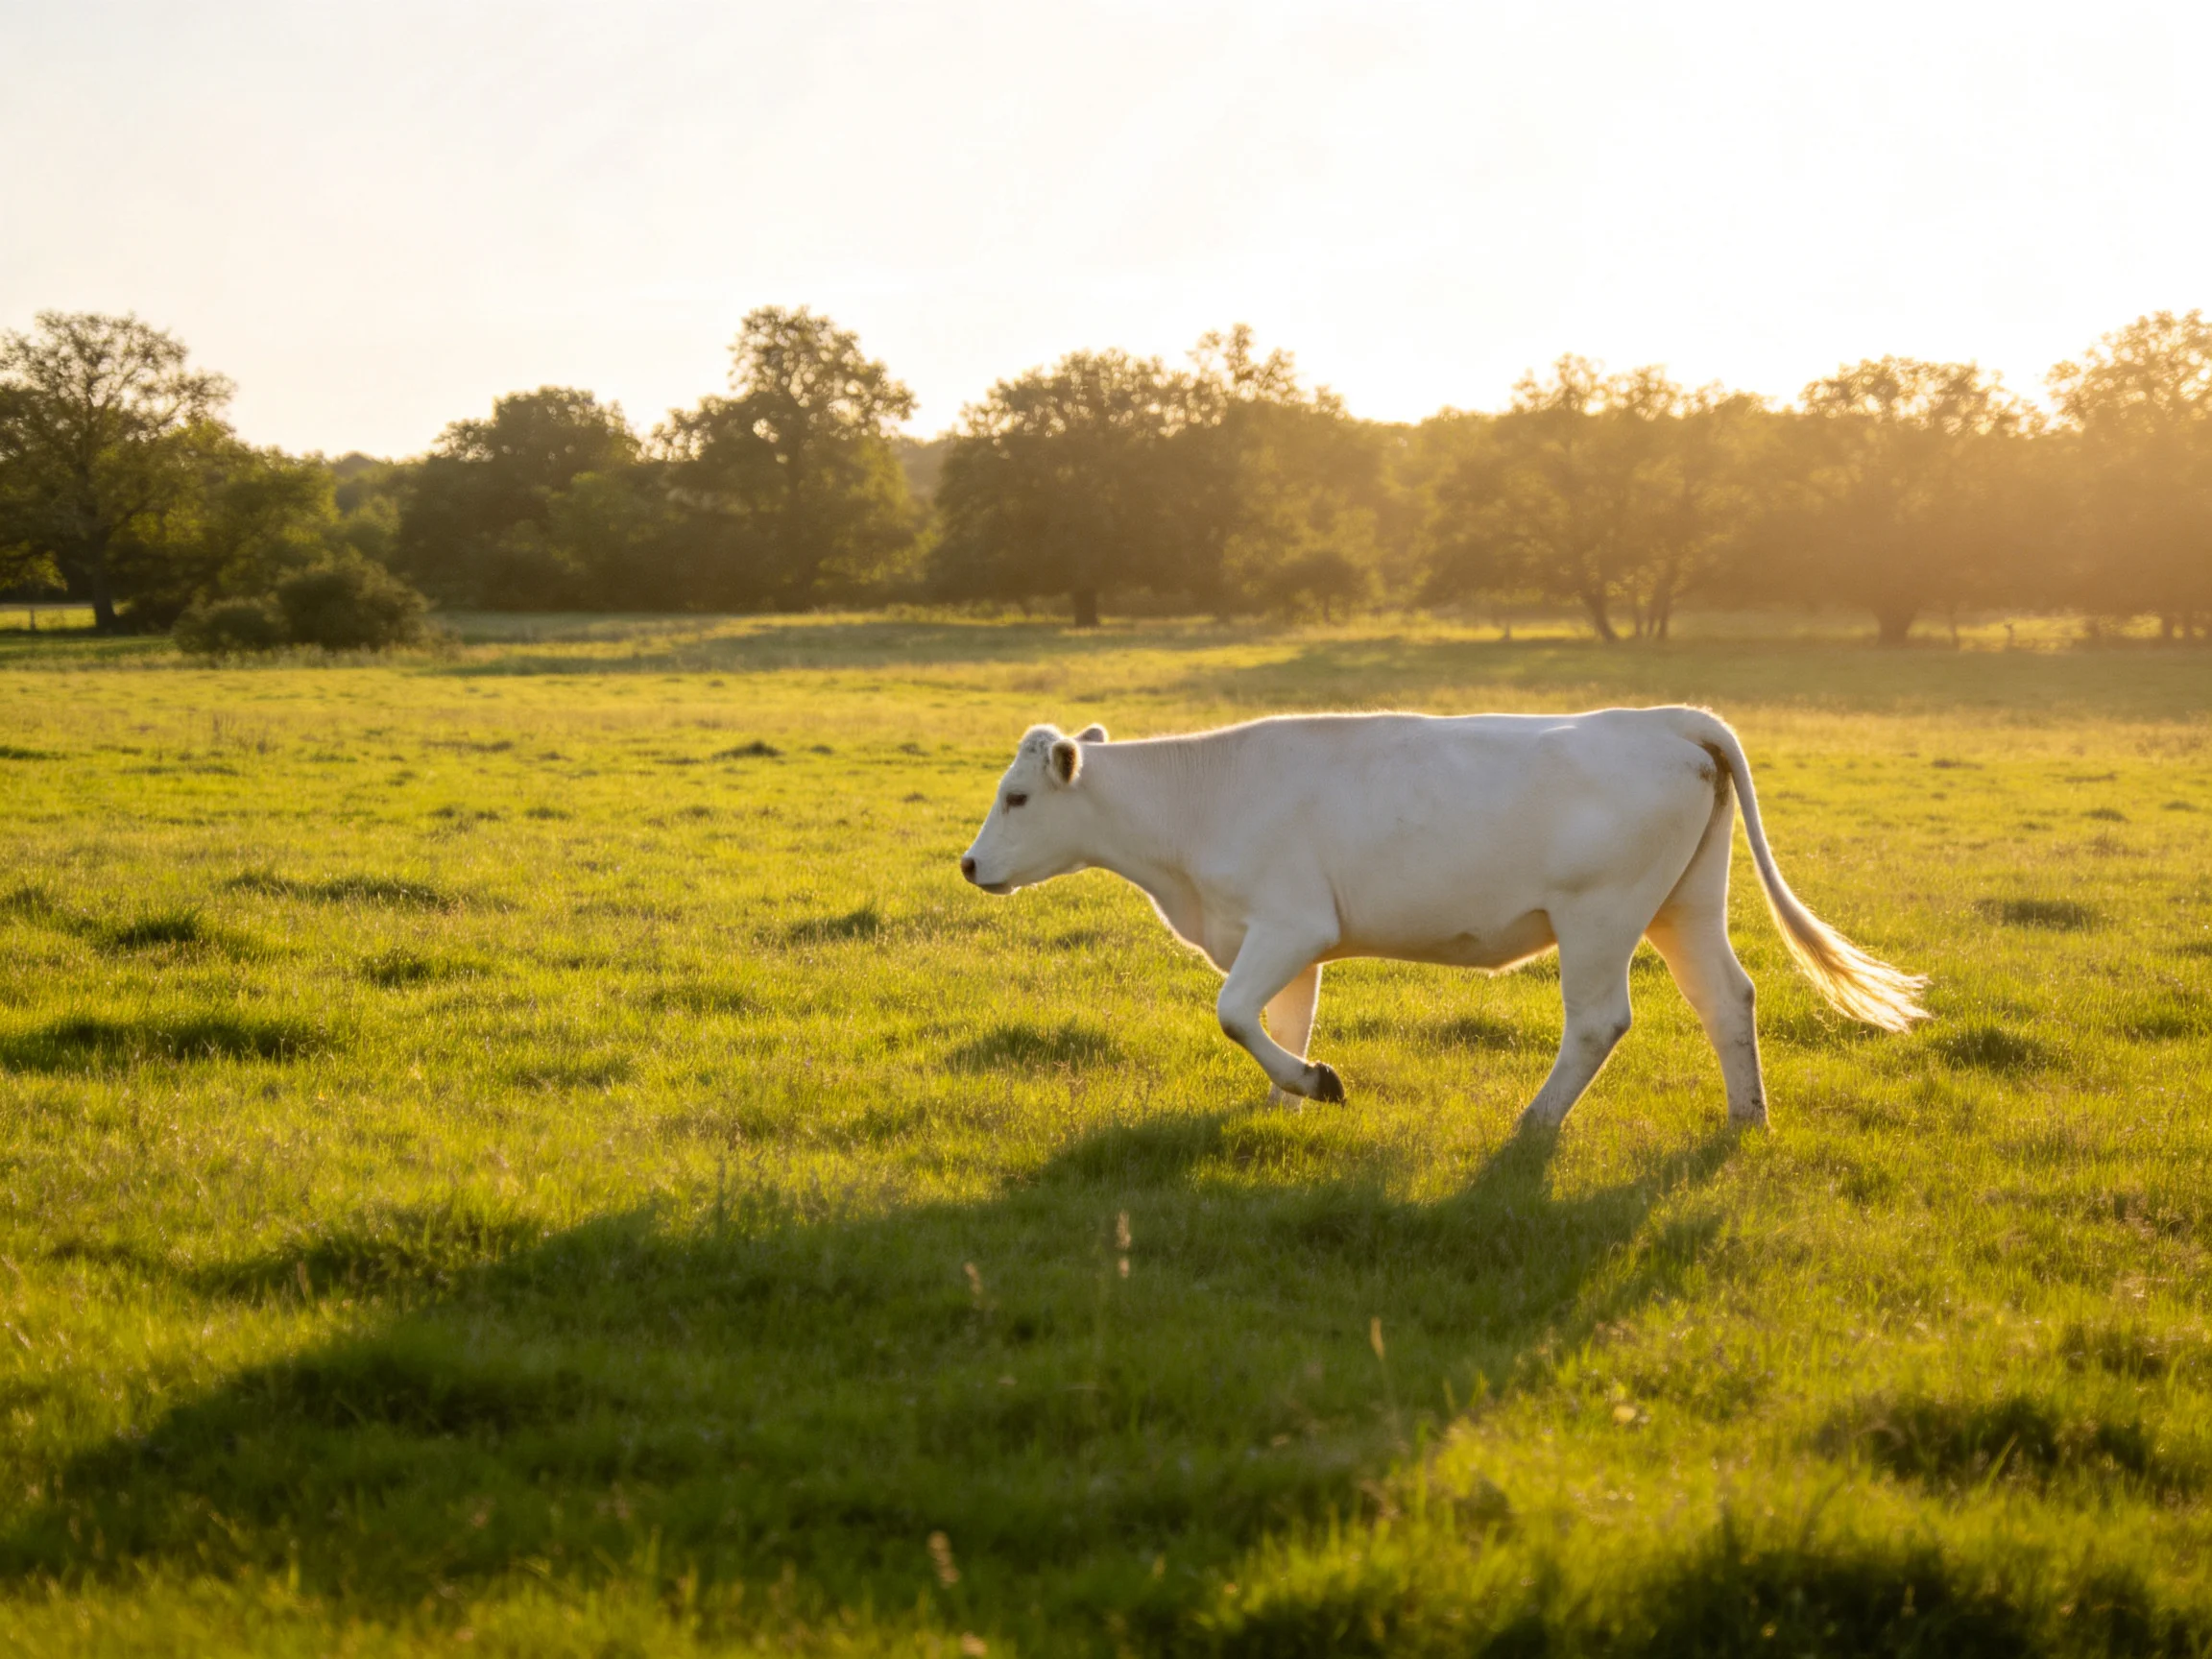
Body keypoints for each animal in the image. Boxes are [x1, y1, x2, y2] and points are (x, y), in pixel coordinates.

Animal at [958, 707, 1926, 1130]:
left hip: (1601, 914)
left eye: (1016, 798)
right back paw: (1746, 1117)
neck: (1200, 803)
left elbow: (1234, 1013)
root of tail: (1663, 720)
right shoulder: (1286, 940)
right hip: (1685, 905)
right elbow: (1282, 1018)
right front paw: (1284, 1098)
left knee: (1599, 1020)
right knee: (1727, 998)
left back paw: (1536, 1121)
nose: (968, 865)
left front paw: (1318, 1082)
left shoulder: (1289, 926)